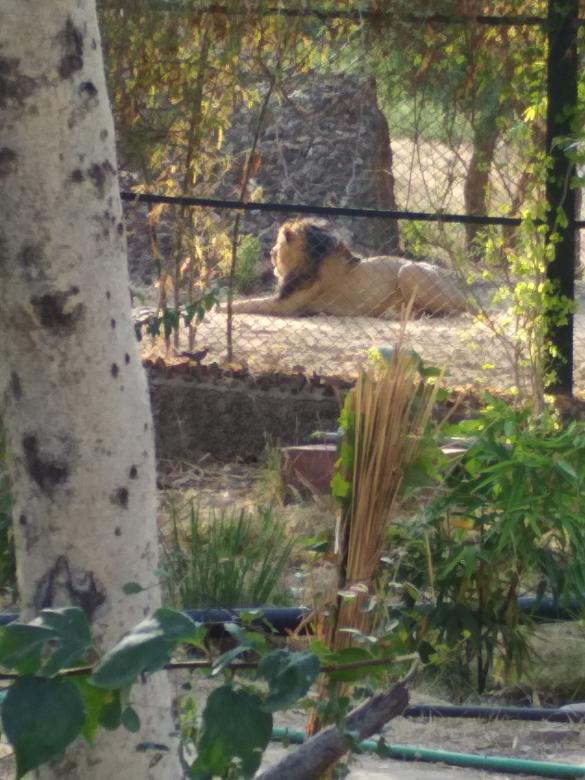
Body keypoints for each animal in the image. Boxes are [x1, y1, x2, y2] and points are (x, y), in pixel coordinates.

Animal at [231, 219, 468, 318]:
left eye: (278, 245)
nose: (271, 252)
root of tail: (459, 290)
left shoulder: (288, 305)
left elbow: (246, 304)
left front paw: (224, 308)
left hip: (407, 271)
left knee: (451, 311)